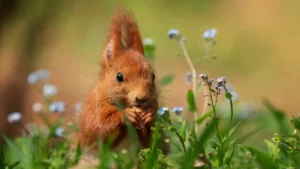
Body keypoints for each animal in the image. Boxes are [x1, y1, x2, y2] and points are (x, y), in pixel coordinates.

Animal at [75, 8, 158, 152]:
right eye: (119, 77)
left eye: (153, 76)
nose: (142, 99)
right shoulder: (95, 106)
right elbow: (98, 129)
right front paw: (125, 115)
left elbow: (151, 142)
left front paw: (150, 116)